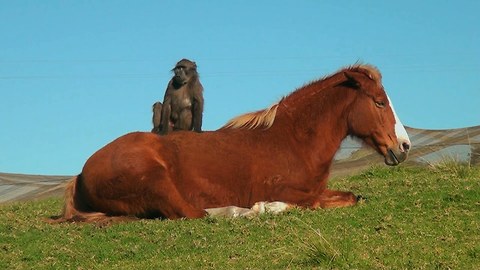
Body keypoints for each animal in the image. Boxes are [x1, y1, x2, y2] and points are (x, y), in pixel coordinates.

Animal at [52, 64, 412, 223]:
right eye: (380, 102)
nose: (404, 146)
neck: (292, 139)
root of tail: (81, 175)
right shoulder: (291, 191)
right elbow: (308, 203)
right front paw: (266, 206)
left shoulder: (317, 190)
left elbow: (351, 197)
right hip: (156, 179)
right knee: (191, 213)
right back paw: (241, 210)